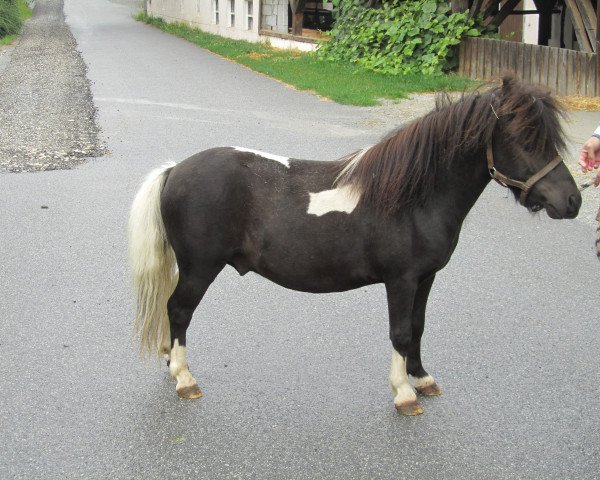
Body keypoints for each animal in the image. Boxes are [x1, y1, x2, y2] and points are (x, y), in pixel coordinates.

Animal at [127, 77, 580, 414]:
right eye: (524, 138)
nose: (572, 201)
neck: (414, 197)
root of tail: (175, 170)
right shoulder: (401, 281)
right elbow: (400, 332)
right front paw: (404, 394)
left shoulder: (425, 278)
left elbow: (418, 327)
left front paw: (422, 378)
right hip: (200, 268)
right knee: (178, 310)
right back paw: (184, 378)